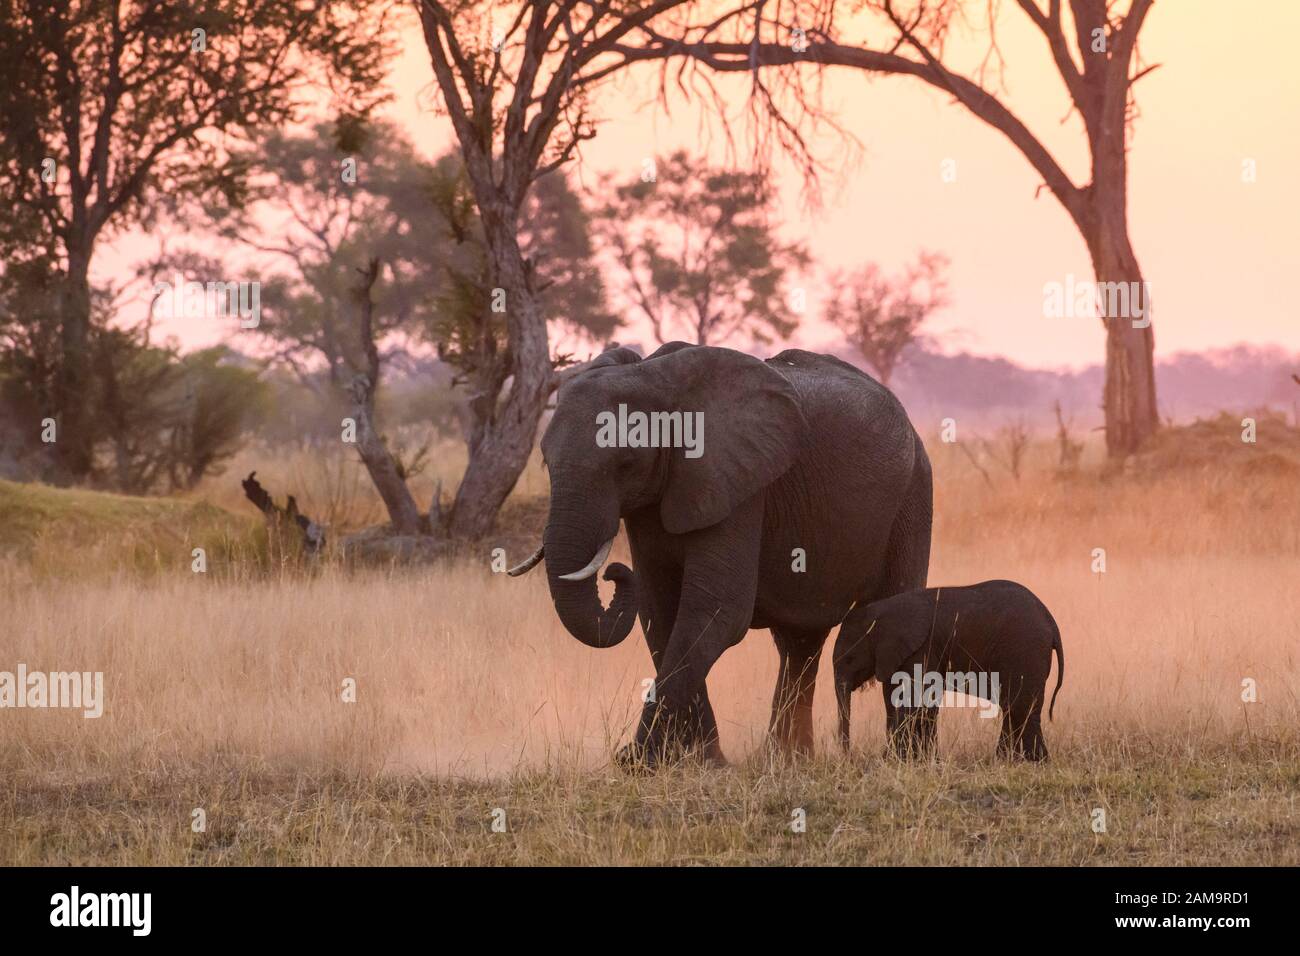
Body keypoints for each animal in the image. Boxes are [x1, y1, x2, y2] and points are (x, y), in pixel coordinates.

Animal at [509, 340, 935, 764]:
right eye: (545, 461)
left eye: (626, 463)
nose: (614, 572)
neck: (655, 379)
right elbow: (660, 612)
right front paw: (703, 760)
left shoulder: (739, 488)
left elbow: (716, 610)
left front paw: (638, 760)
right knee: (800, 640)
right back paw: (786, 759)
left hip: (913, 494)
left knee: (891, 610)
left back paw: (904, 756)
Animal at [837, 582, 1060, 764]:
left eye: (850, 659)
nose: (848, 758)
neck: (880, 611)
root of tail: (1050, 620)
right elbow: (902, 699)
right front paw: (920, 761)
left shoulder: (921, 649)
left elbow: (914, 702)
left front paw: (892, 761)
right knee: (1014, 708)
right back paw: (1009, 760)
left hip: (1025, 650)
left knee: (1020, 708)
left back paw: (1033, 761)